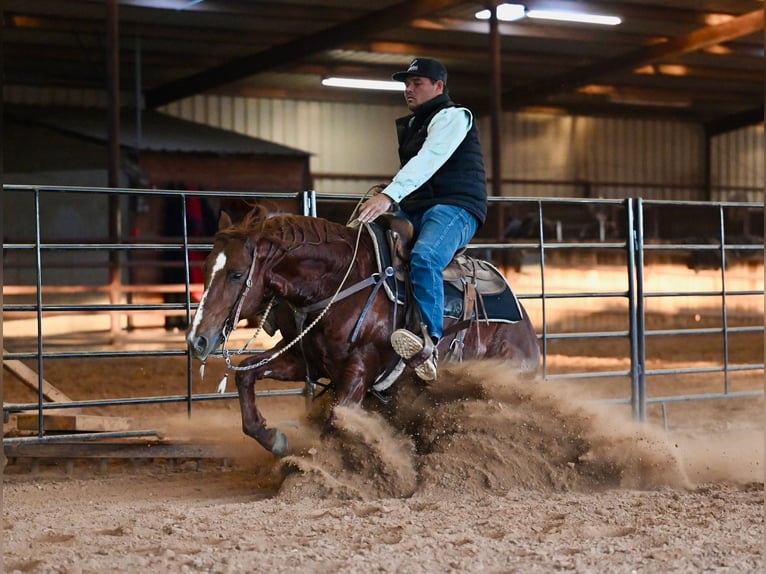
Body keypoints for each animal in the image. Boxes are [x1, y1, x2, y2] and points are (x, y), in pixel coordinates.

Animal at [186, 206, 540, 457]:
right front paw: (273, 439)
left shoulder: (360, 369)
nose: (197, 339)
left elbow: (336, 422)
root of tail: (527, 330)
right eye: (205, 267)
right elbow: (246, 373)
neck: (339, 282)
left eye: (236, 274)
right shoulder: (307, 361)